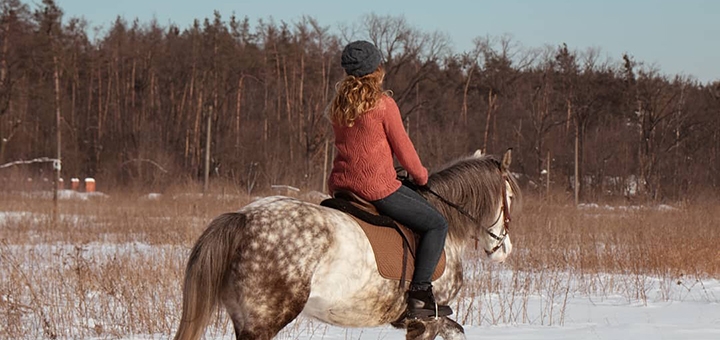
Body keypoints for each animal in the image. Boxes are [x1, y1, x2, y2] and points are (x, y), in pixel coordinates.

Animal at [174, 149, 524, 340]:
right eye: (508, 196)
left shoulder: (427, 321)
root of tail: (243, 218)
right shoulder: (426, 320)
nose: (503, 250)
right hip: (263, 321)